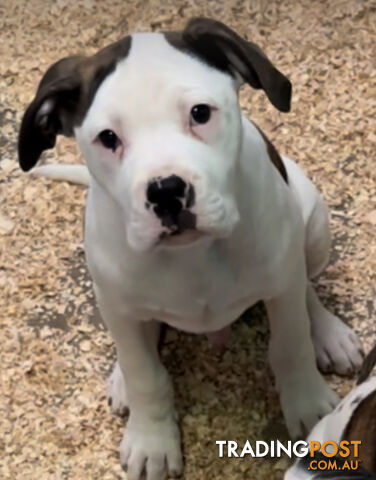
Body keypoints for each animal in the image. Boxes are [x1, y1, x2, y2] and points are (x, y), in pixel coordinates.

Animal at [18, 17, 364, 480]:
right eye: (108, 138)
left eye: (200, 113)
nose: (166, 191)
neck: (193, 256)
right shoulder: (119, 305)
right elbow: (146, 374)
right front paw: (151, 439)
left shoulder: (282, 284)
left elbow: (291, 344)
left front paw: (308, 404)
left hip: (312, 221)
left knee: (305, 286)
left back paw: (329, 334)